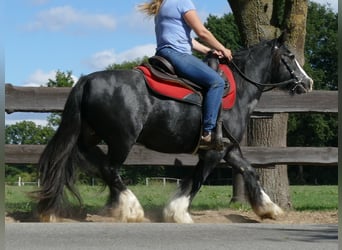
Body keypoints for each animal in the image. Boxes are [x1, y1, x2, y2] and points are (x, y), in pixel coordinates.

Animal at [35, 33, 312, 223]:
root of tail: (87, 80)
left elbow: (249, 171)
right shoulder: (213, 151)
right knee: (109, 169)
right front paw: (178, 212)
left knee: (96, 163)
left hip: (91, 137)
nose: (307, 82)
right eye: (290, 56)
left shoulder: (229, 149)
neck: (239, 90)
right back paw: (132, 208)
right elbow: (197, 180)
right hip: (122, 140)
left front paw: (269, 209)